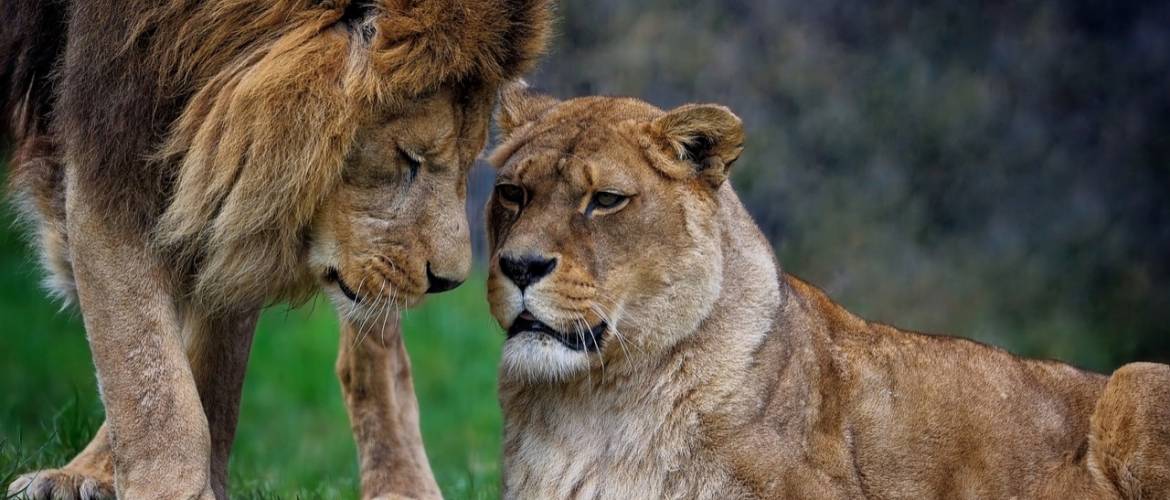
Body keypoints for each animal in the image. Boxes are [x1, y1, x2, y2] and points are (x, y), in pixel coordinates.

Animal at [1, 1, 547, 498]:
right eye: (408, 158)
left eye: (469, 160)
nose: (448, 281)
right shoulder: (113, 126)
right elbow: (147, 370)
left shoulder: (238, 181)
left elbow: (207, 366)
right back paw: (81, 476)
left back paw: (403, 487)